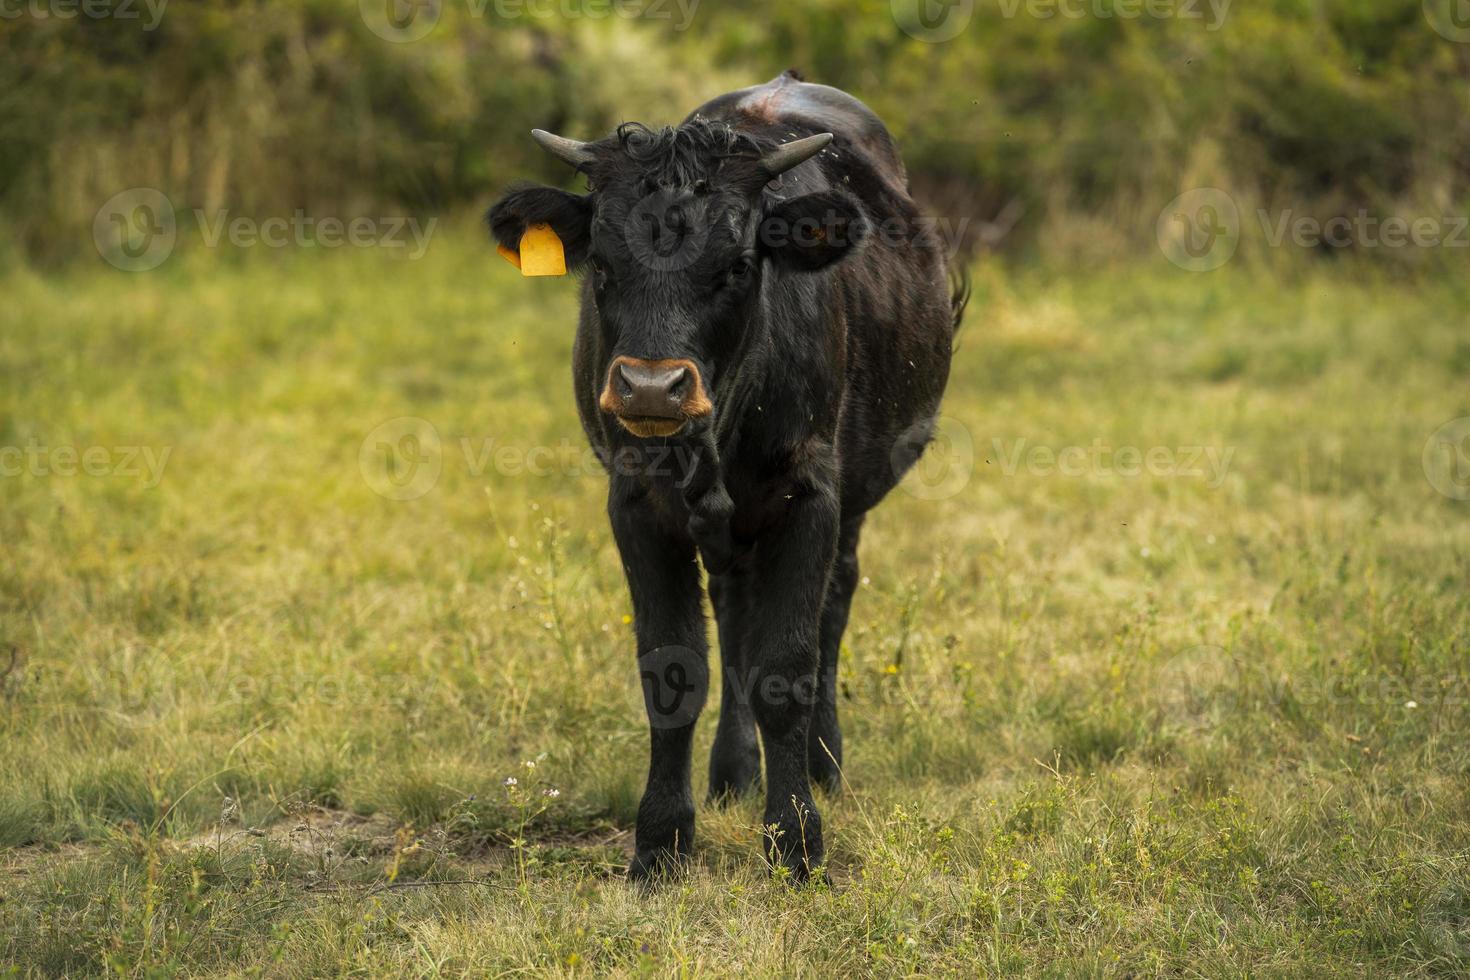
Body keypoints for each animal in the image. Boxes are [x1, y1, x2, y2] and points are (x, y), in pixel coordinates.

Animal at [485, 69, 964, 881]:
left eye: (738, 266)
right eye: (601, 265)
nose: (651, 388)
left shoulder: (811, 496)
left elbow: (787, 666)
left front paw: (796, 838)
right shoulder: (637, 503)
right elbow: (673, 671)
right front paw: (662, 841)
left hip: (852, 496)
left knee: (834, 602)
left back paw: (823, 767)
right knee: (736, 612)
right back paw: (734, 775)